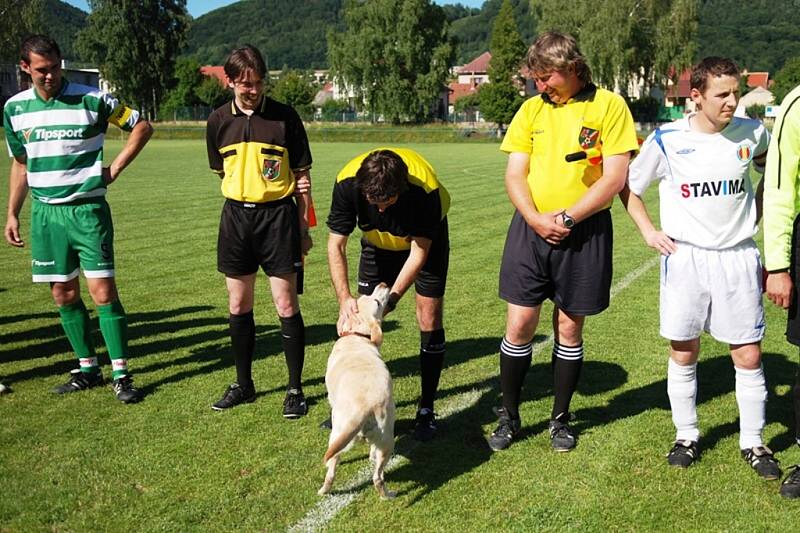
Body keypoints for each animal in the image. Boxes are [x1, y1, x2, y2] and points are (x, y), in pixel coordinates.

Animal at [318, 282, 396, 498]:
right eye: (375, 301)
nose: (384, 283)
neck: (356, 337)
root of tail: (364, 408)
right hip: (385, 439)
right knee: (377, 476)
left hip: (339, 435)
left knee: (334, 470)